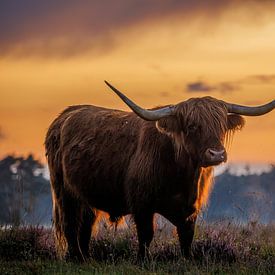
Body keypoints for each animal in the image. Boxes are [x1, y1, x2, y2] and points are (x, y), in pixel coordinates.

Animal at [44, 81, 274, 262]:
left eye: (221, 126)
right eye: (192, 126)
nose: (216, 154)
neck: (183, 176)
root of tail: (65, 115)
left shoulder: (191, 208)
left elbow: (186, 236)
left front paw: (187, 260)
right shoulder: (141, 204)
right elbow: (146, 234)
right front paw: (142, 261)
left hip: (87, 195)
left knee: (86, 225)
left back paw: (86, 258)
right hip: (64, 191)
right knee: (70, 224)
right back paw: (77, 258)